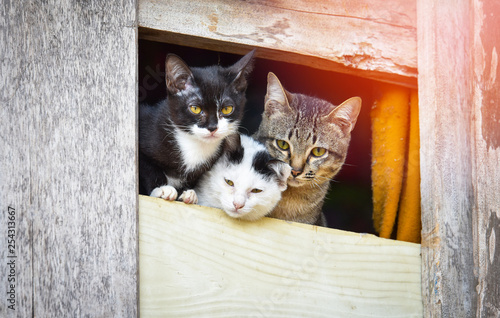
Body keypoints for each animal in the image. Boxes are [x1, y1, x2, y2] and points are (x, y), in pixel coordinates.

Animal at [140, 51, 254, 202]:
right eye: (195, 108)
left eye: (227, 109)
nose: (212, 127)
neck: (193, 143)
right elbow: (149, 170)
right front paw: (161, 189)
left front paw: (188, 193)